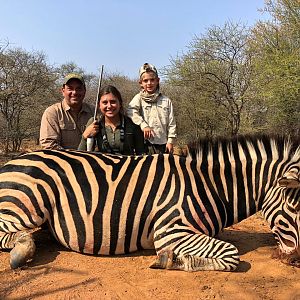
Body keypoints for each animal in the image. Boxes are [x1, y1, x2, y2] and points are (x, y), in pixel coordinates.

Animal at [0, 135, 298, 270]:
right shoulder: (170, 230)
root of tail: (16, 159)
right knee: (13, 234)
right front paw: (172, 260)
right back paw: (22, 251)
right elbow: (231, 255)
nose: (295, 260)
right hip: (27, 202)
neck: (209, 185)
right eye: (292, 207)